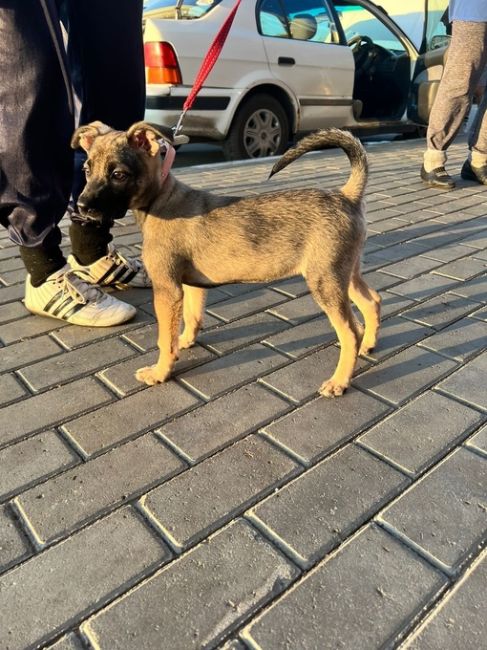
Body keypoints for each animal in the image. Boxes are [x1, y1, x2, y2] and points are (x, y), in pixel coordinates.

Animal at [71, 121, 382, 394]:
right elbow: (192, 318)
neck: (160, 199)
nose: (81, 208)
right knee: (372, 301)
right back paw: (369, 343)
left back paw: (339, 381)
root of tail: (346, 196)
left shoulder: (167, 289)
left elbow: (164, 339)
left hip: (324, 280)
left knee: (349, 332)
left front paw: (160, 372)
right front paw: (185, 342)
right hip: (343, 272)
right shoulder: (191, 285)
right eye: (86, 169)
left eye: (119, 175)